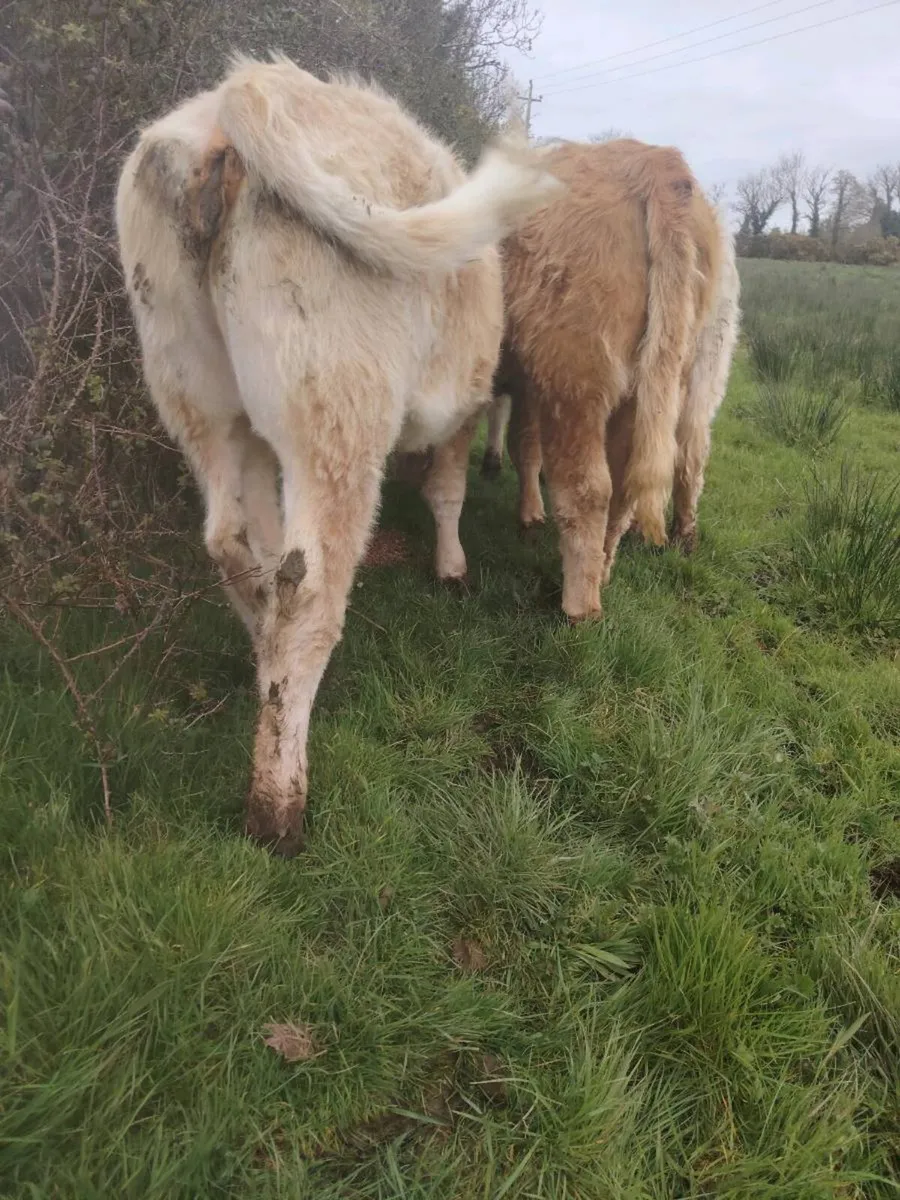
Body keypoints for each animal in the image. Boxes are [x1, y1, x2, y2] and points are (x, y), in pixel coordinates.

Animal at [115, 53, 561, 853]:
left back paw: (266, 675)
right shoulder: (461, 407)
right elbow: (447, 490)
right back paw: (278, 805)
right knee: (307, 590)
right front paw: (451, 568)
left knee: (241, 551)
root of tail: (240, 98)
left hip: (203, 401)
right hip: (336, 418)